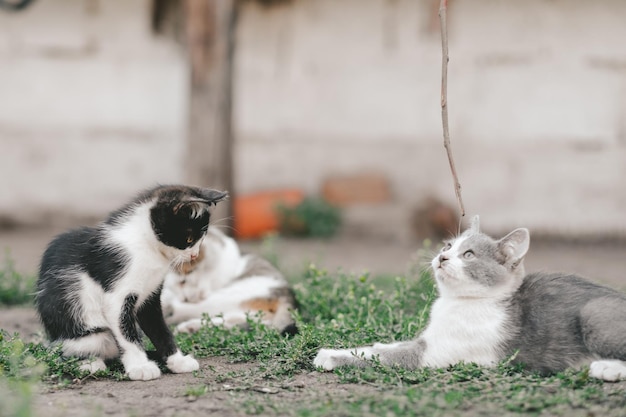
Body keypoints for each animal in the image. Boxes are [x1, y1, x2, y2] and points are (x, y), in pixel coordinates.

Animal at [36, 185, 227, 380]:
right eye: (189, 239)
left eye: (202, 238)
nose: (194, 255)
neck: (147, 244)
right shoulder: (116, 292)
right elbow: (126, 331)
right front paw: (140, 366)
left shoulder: (151, 295)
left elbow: (159, 327)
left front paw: (177, 361)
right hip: (84, 328)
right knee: (68, 351)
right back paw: (89, 363)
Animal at [312, 214, 626, 380]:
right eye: (448, 245)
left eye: (469, 255)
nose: (442, 257)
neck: (456, 303)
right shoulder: (430, 339)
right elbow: (390, 345)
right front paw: (373, 344)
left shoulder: (434, 353)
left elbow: (385, 356)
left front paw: (330, 355)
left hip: (594, 314)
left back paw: (606, 368)